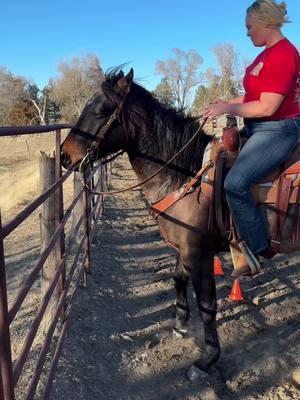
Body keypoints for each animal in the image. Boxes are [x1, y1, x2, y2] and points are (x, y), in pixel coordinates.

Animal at [61, 69, 227, 382]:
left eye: (100, 110)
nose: (65, 156)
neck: (187, 178)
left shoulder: (200, 255)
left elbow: (207, 306)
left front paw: (207, 360)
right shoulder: (183, 249)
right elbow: (178, 280)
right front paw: (179, 327)